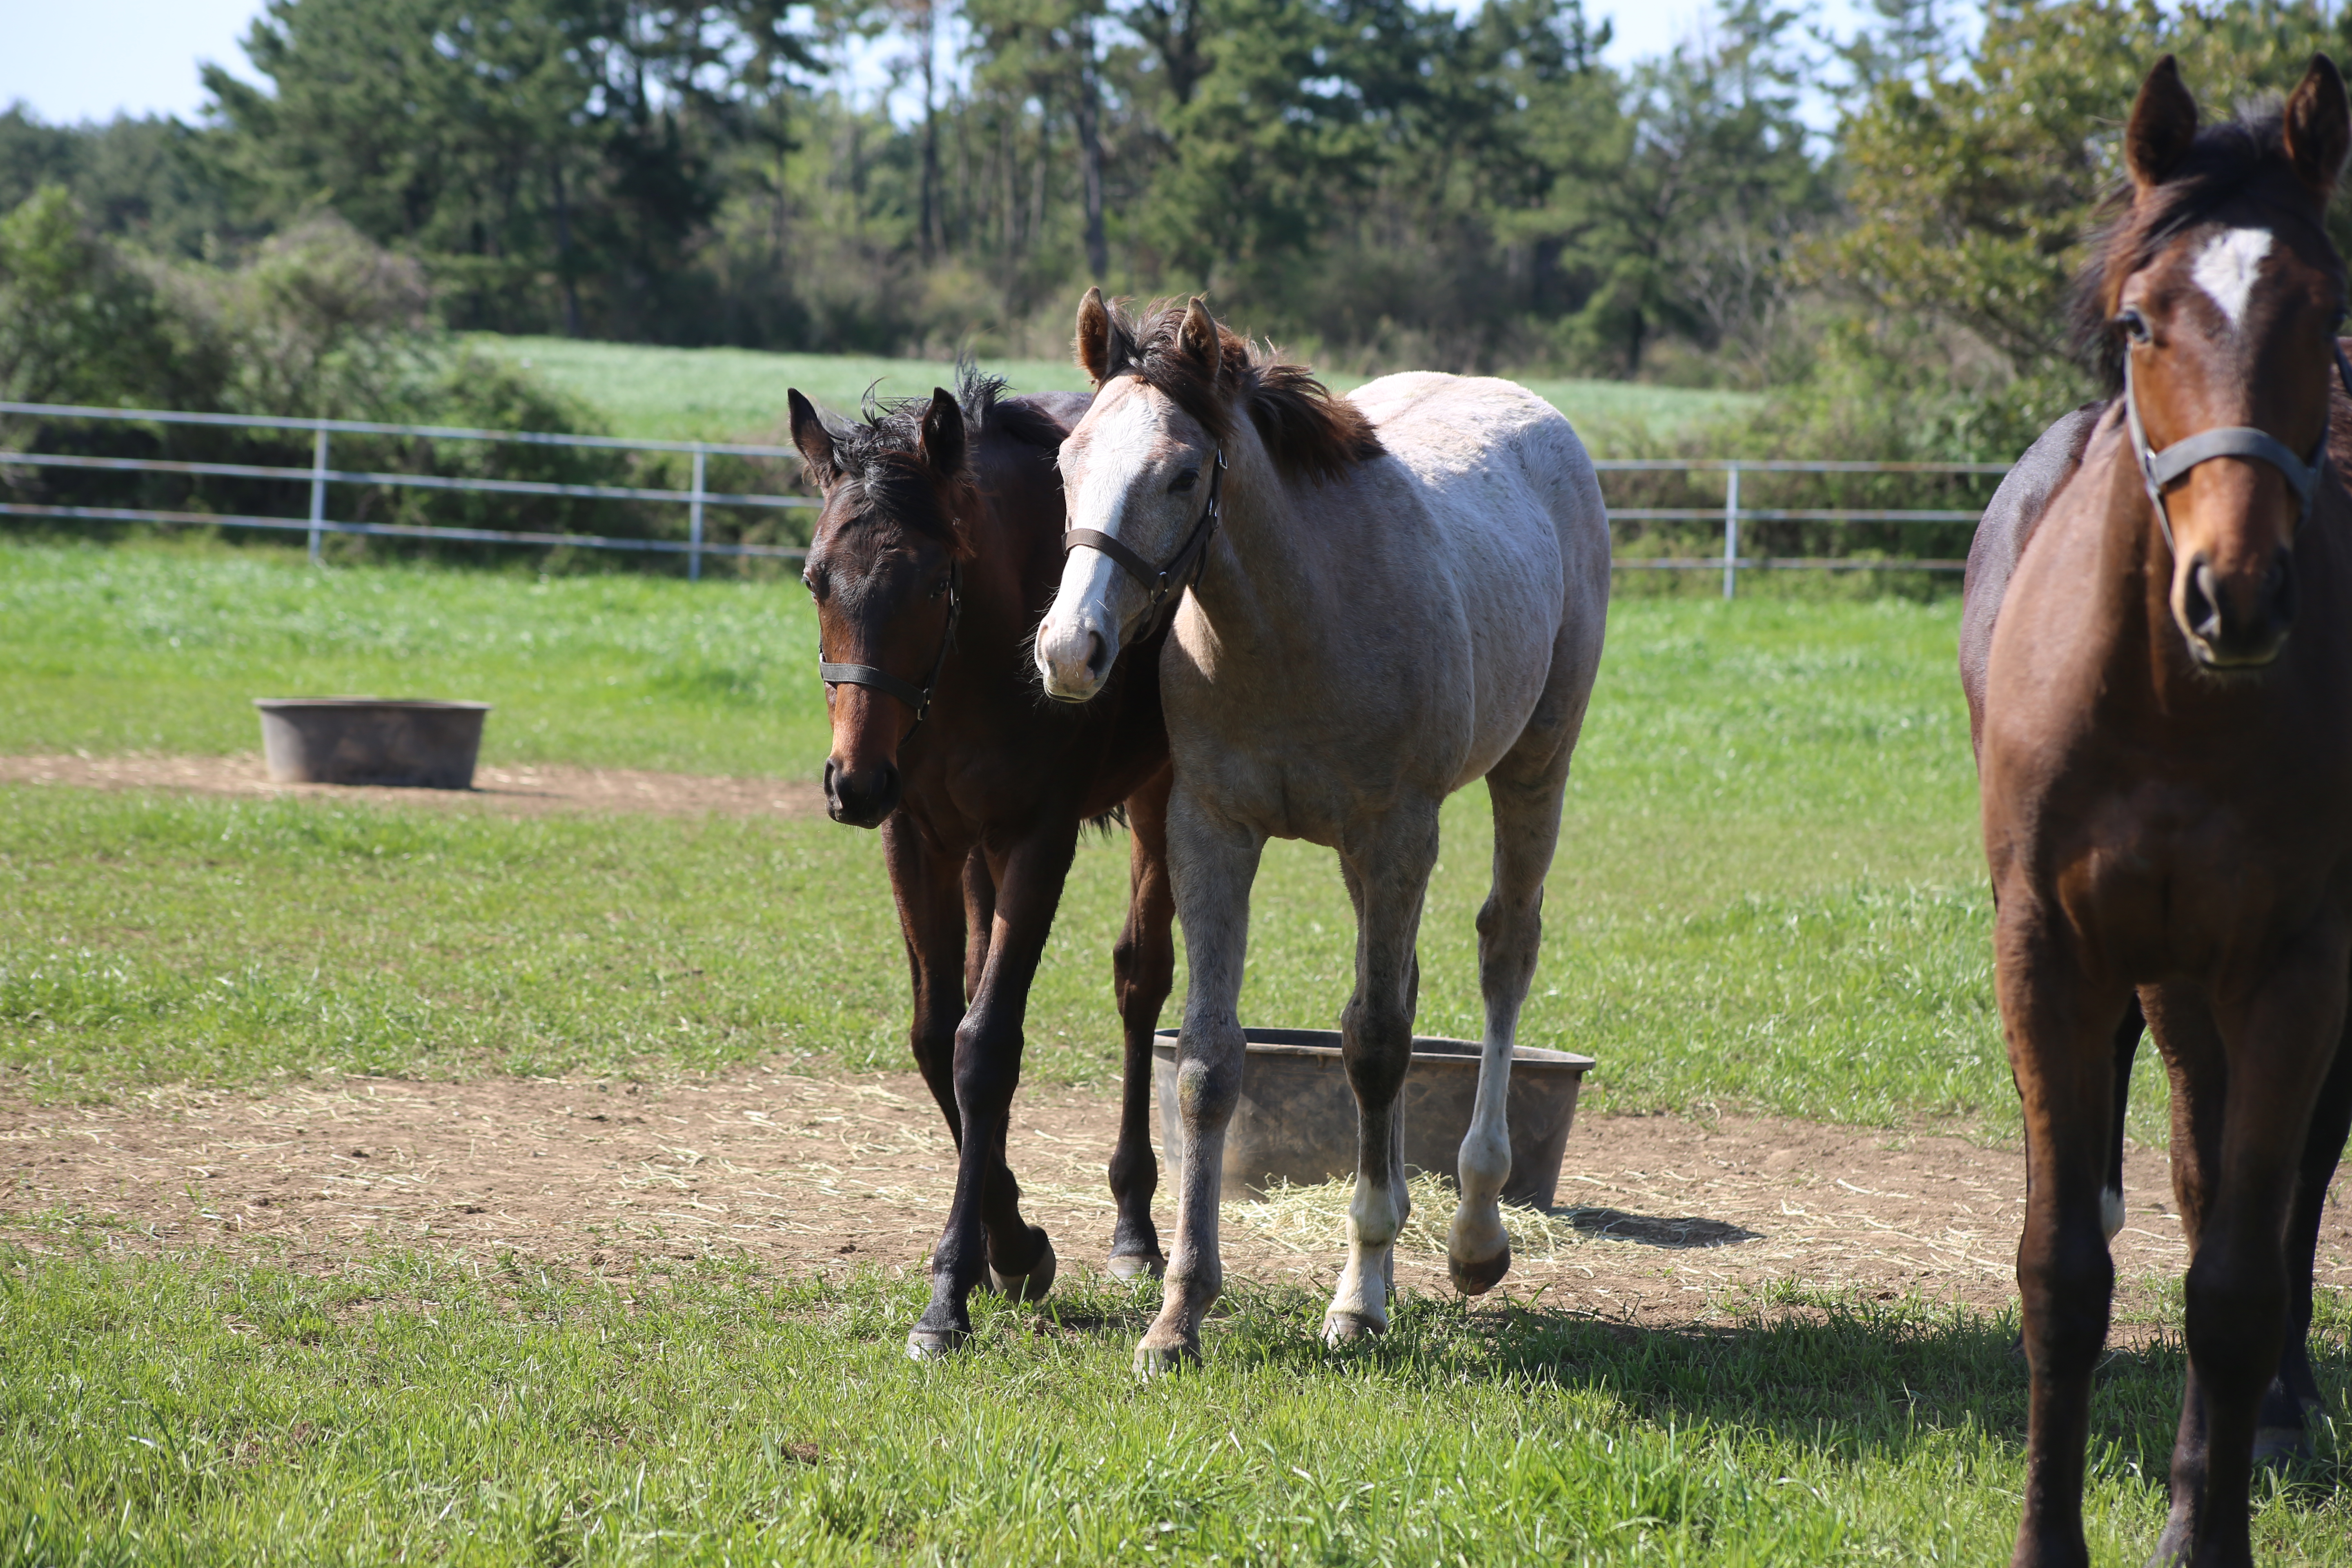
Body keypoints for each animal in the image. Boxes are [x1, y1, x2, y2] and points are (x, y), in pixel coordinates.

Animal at [790, 371, 1176, 1363]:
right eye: (814, 579)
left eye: (934, 581)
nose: (852, 782)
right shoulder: (918, 836)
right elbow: (939, 1034)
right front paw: (1012, 1248)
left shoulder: (1040, 837)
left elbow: (987, 1044)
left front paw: (950, 1297)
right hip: (971, 851)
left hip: (1159, 802)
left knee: (1142, 982)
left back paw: (1135, 1228)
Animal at [1966, 52, 2352, 1568]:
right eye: (2142, 320)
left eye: (2325, 315)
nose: (2234, 595)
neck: (2175, 707)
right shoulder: (2051, 953)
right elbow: (2063, 1270)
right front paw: (2048, 1541)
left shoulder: (2298, 965)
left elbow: (2238, 1280)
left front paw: (2212, 1526)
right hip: (2174, 987)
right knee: (2193, 1178)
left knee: (2275, 1197)